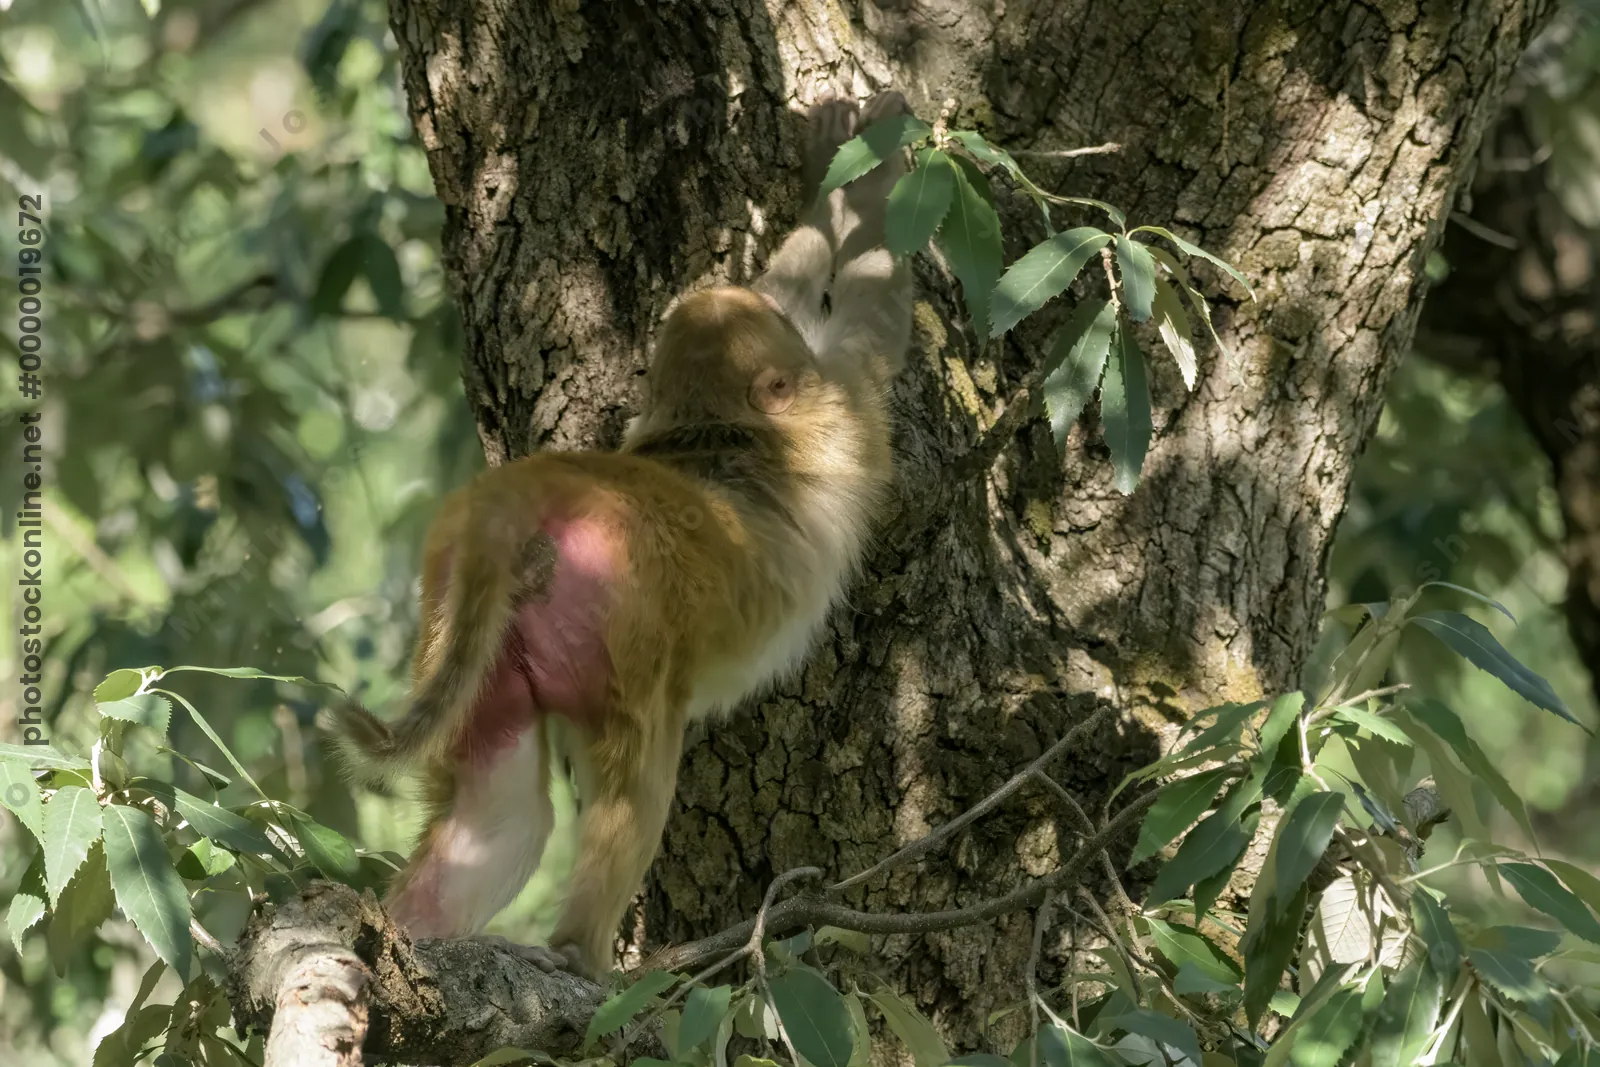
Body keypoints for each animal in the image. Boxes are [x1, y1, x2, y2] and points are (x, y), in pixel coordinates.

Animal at [325, 91, 915, 979]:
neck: (715, 428)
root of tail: (520, 490)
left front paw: (831, 166)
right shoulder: (843, 411)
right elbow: (872, 314)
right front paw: (873, 156)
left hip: (460, 619)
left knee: (499, 812)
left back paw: (414, 934)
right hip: (622, 623)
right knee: (635, 781)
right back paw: (580, 954)